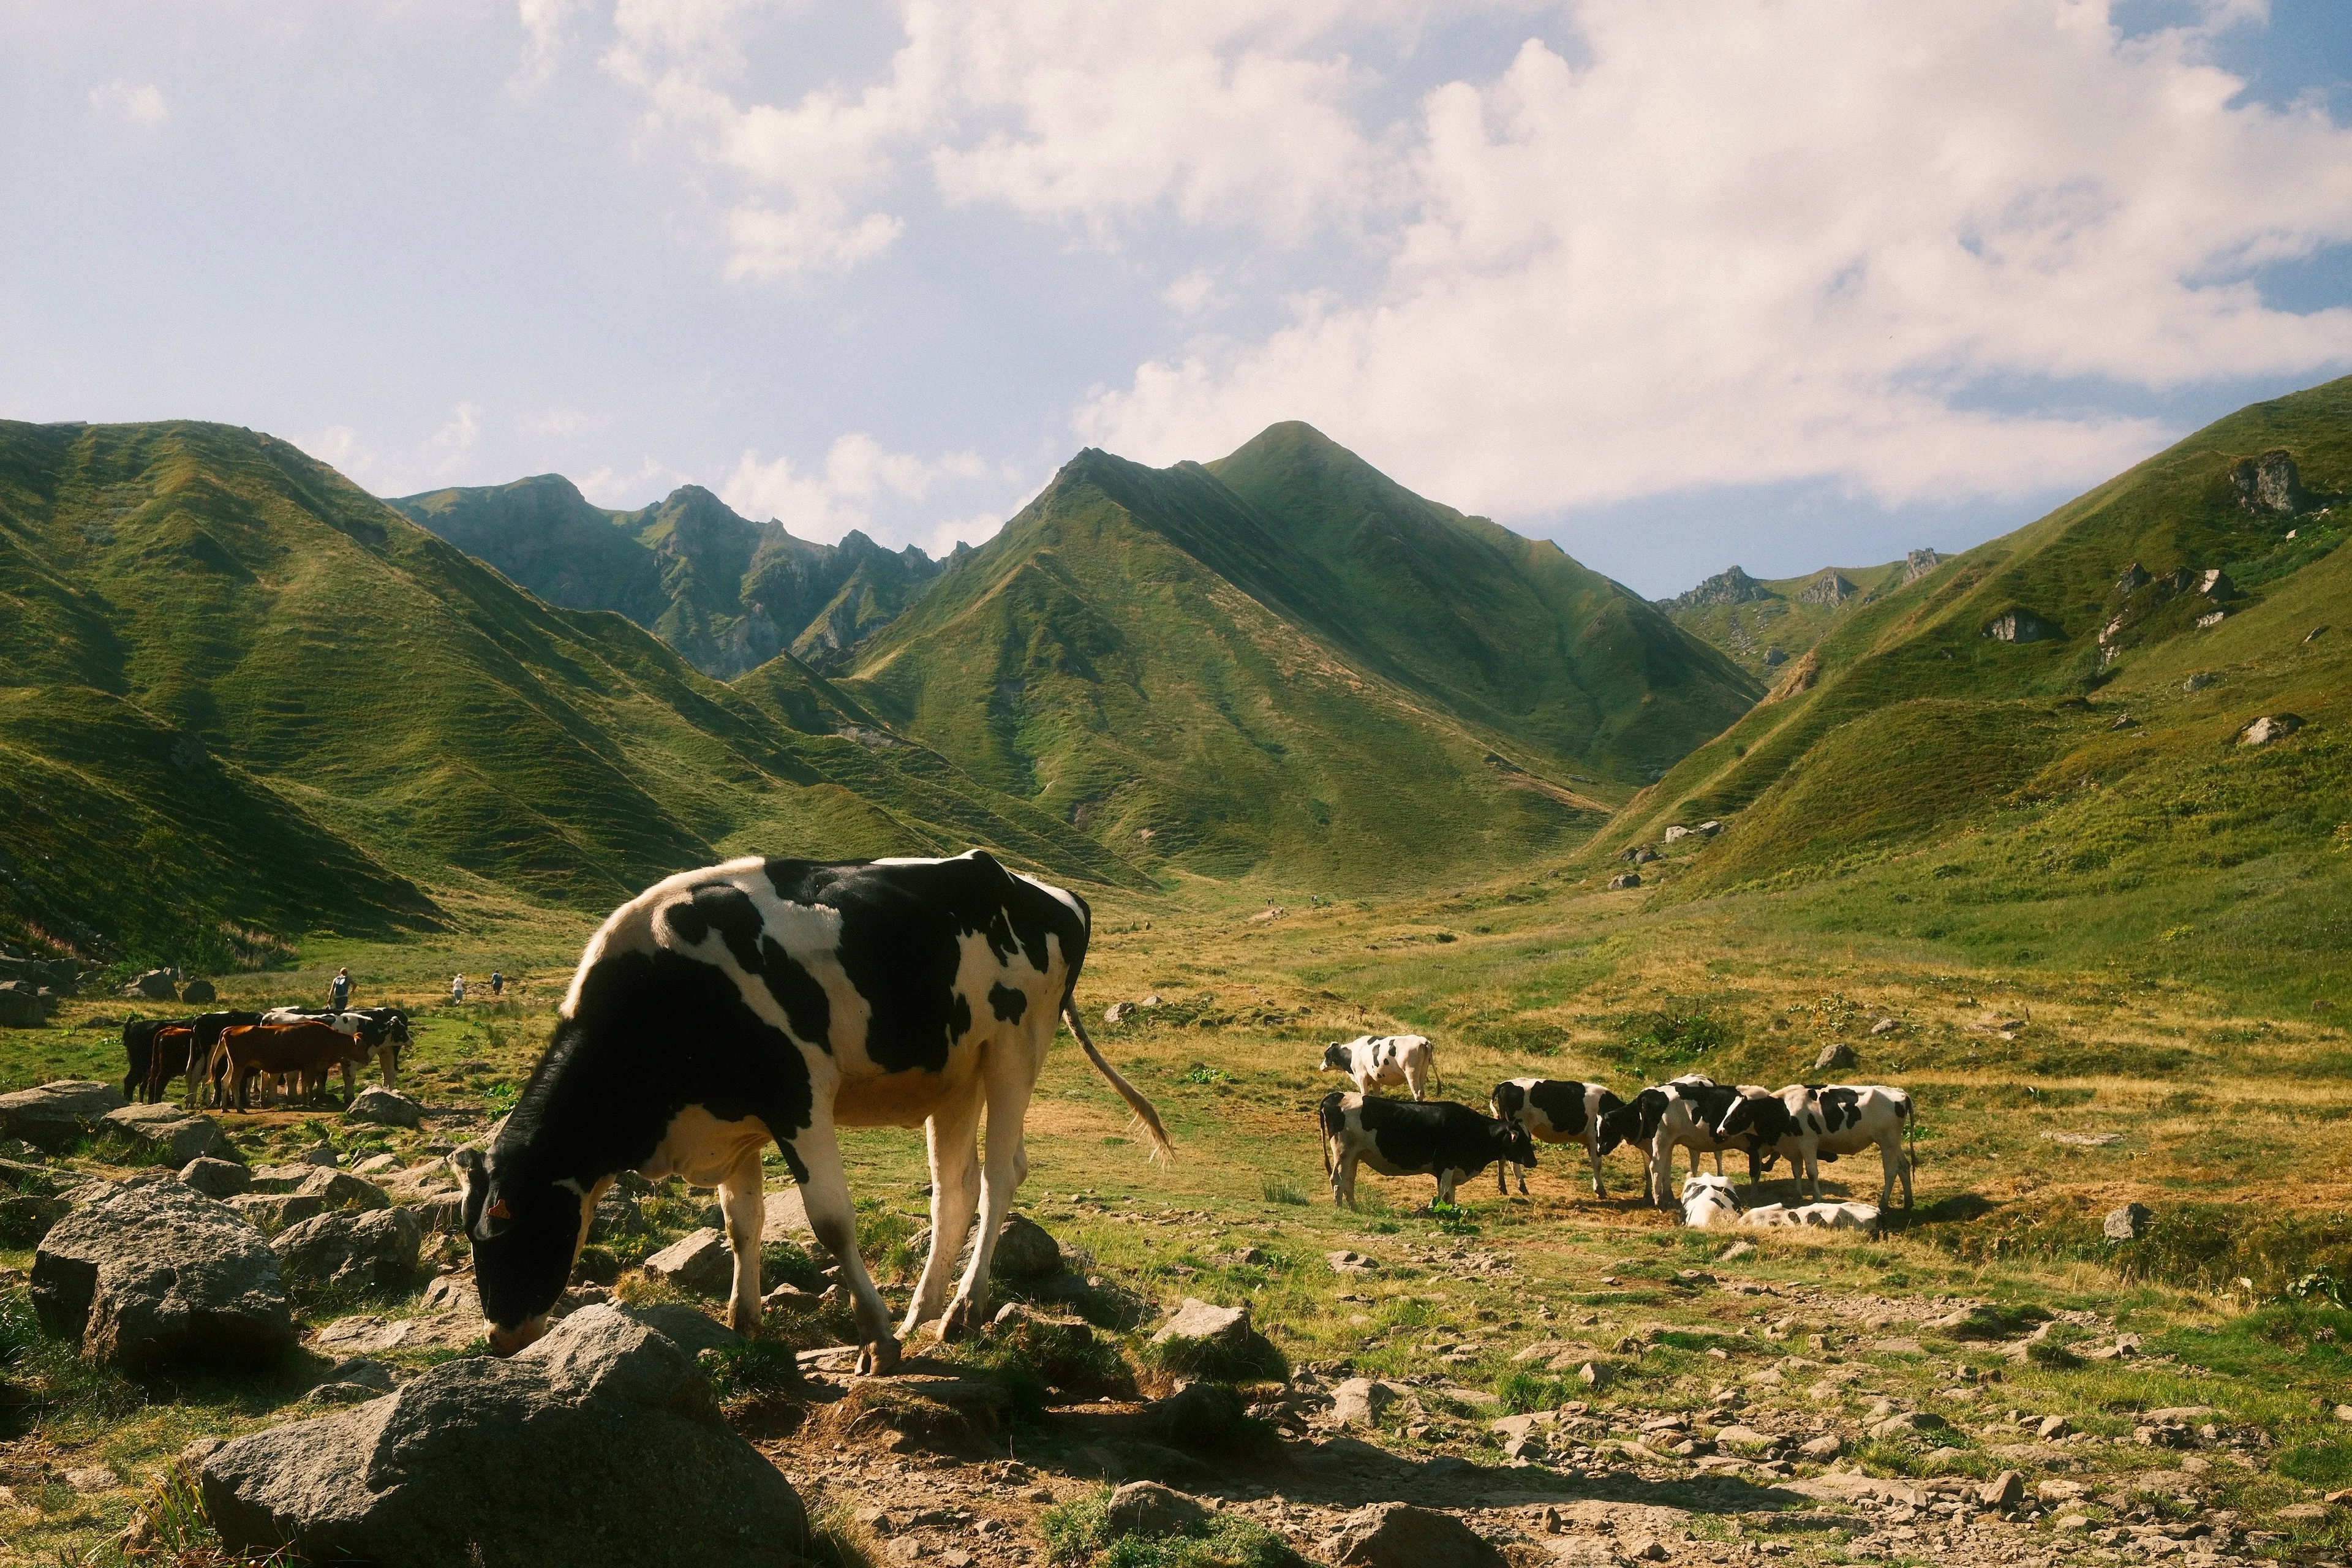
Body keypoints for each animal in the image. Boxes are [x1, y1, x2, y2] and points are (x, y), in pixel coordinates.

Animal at [452, 850, 1169, 1373]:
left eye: (507, 1229)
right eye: (470, 1237)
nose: (499, 1338)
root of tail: (1043, 888)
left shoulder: (798, 1094)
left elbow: (830, 1222)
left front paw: (877, 1339)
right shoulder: (736, 1123)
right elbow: (741, 1222)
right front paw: (743, 1323)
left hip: (1016, 1046)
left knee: (999, 1176)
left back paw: (961, 1309)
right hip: (955, 1074)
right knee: (954, 1188)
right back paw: (924, 1308)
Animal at [1318, 1091, 1534, 1208]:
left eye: (1529, 1138)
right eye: (1521, 1140)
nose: (1534, 1161)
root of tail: (1337, 1095)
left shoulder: (1453, 1169)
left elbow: (1450, 1196)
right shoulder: (1446, 1166)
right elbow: (1444, 1195)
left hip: (1354, 1155)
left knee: (1348, 1180)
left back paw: (1353, 1207)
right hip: (1343, 1152)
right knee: (1337, 1179)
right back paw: (1339, 1208)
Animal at [1319, 1034, 1434, 1100]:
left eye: (1327, 1055)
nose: (1321, 1066)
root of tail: (1423, 1041)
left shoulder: (1361, 1076)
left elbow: (1364, 1094)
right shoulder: (1375, 1078)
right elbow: (1376, 1095)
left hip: (1411, 1072)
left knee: (1418, 1093)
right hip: (1422, 1073)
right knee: (1422, 1093)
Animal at [1488, 1078, 1627, 1197]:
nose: (1604, 1149)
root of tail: (1505, 1084)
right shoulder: (1595, 1139)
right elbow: (1597, 1164)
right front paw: (1600, 1191)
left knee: (1502, 1158)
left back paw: (1503, 1187)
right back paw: (1522, 1187)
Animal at [1714, 1084, 1915, 1209]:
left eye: (1740, 1114)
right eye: (1729, 1110)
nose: (1720, 1130)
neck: (1784, 1109)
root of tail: (1900, 1093)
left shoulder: (1808, 1143)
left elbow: (1812, 1173)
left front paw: (1817, 1198)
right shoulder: (1794, 1147)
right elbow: (1797, 1171)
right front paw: (1798, 1196)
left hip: (1887, 1142)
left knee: (1891, 1171)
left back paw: (1883, 1203)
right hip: (1895, 1143)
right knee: (1904, 1167)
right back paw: (1908, 1203)